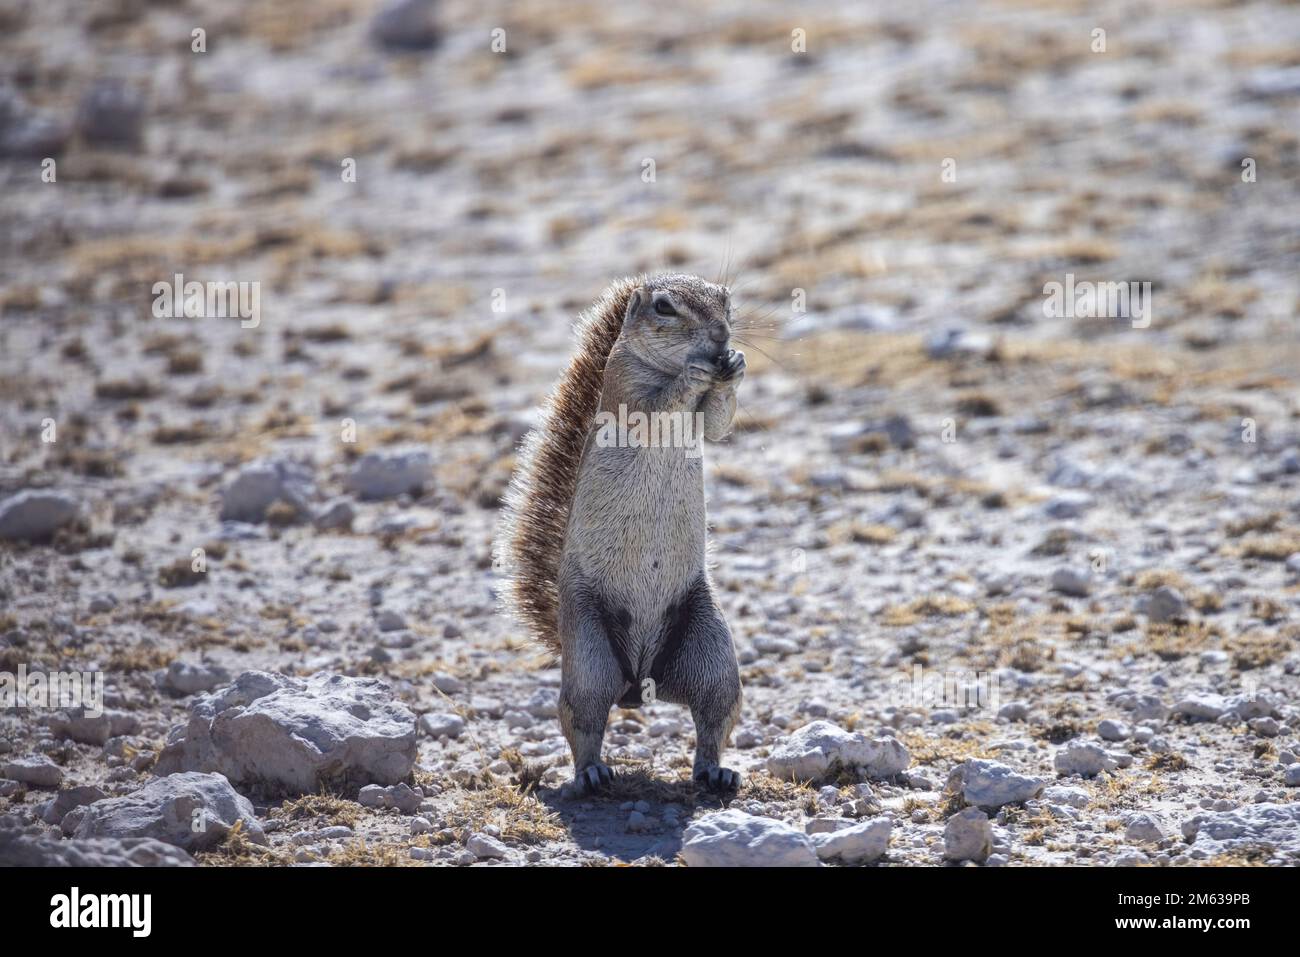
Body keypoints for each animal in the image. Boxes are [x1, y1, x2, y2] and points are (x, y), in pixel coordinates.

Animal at [497, 274, 746, 795]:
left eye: (726, 301)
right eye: (664, 307)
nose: (720, 338)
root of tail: (638, 684)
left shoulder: (708, 414)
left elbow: (718, 421)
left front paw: (735, 366)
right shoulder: (624, 387)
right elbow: (652, 407)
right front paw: (692, 374)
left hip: (711, 655)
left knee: (712, 720)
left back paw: (715, 771)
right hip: (589, 653)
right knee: (584, 722)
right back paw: (591, 774)